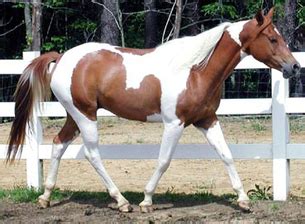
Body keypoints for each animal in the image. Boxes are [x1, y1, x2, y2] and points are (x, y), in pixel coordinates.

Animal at [5, 7, 298, 213]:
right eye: (272, 38)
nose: (294, 67)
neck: (195, 70)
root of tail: (62, 57)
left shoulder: (207, 120)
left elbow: (226, 155)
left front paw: (244, 200)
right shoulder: (174, 123)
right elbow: (163, 160)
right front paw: (146, 201)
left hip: (74, 116)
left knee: (57, 144)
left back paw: (45, 197)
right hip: (84, 115)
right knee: (91, 154)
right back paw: (122, 201)